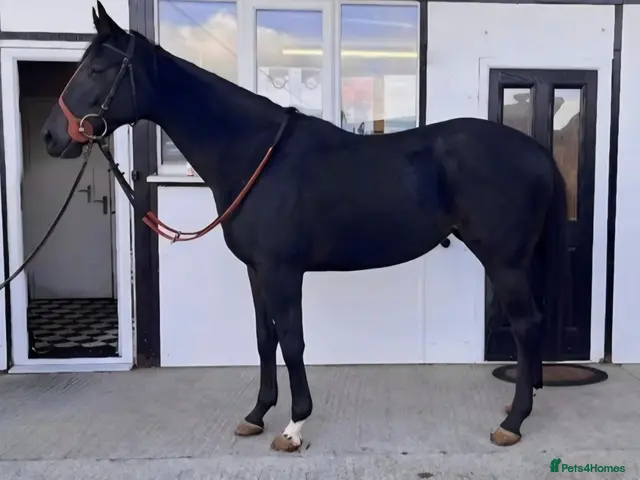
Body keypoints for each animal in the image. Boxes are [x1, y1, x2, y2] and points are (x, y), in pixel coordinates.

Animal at [41, 1, 571, 452]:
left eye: (96, 69)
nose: (51, 136)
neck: (256, 154)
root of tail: (537, 152)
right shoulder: (257, 271)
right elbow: (265, 338)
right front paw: (257, 415)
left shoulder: (282, 270)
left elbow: (292, 339)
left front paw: (294, 426)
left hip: (504, 259)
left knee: (526, 324)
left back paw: (512, 423)